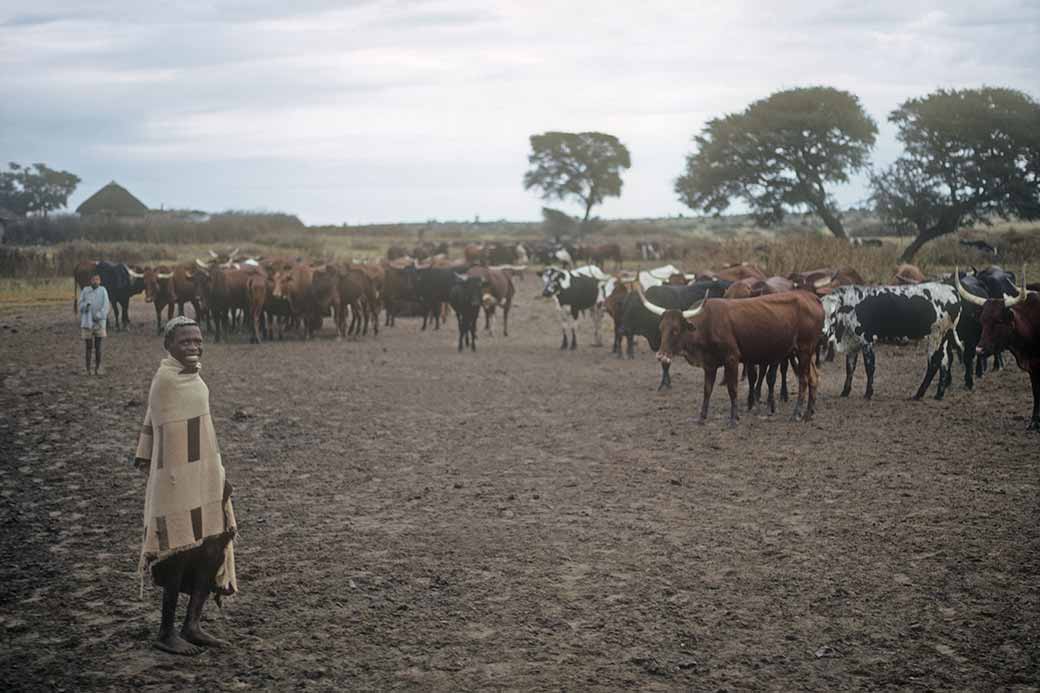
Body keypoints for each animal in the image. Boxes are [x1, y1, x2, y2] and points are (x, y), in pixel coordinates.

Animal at [636, 285, 823, 424]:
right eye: (661, 328)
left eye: (675, 330)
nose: (661, 355)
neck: (707, 324)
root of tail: (812, 297)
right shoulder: (709, 364)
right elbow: (707, 390)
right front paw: (702, 417)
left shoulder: (732, 359)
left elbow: (732, 389)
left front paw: (734, 418)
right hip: (804, 353)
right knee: (813, 378)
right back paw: (809, 414)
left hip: (804, 350)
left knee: (803, 380)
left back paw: (796, 414)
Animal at [823, 283, 960, 399]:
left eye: (833, 313)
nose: (824, 331)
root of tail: (951, 290)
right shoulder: (852, 343)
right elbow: (850, 368)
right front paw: (845, 392)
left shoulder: (866, 341)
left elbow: (869, 367)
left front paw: (868, 393)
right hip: (943, 339)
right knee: (945, 362)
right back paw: (939, 394)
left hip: (935, 337)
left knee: (934, 363)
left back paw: (919, 394)